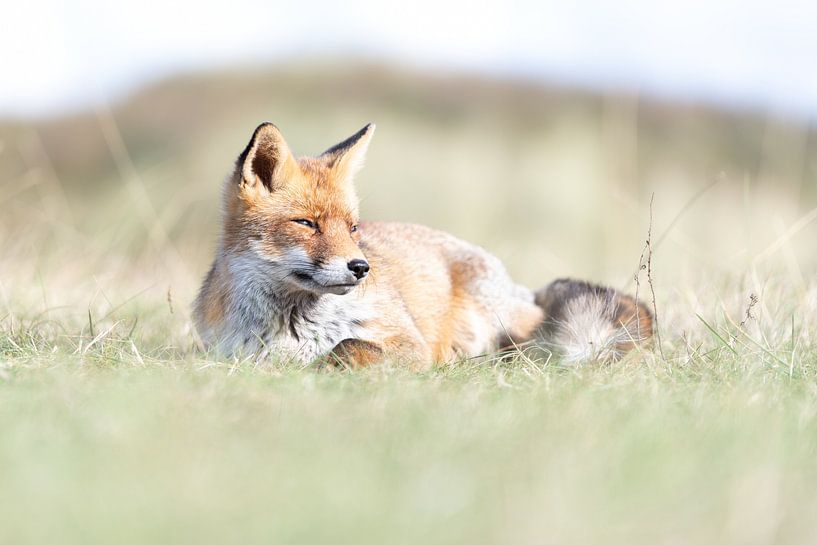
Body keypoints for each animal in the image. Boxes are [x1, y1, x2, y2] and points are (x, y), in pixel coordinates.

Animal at [191, 122, 652, 370]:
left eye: (353, 227)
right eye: (306, 223)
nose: (360, 268)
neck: (294, 325)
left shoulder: (406, 343)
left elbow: (347, 347)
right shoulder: (228, 352)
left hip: (496, 322)